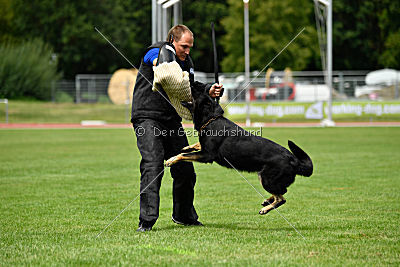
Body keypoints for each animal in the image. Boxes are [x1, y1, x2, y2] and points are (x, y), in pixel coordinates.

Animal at [165, 93, 312, 216]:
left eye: (196, 93)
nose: (192, 83)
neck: (211, 120)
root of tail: (294, 160)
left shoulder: (207, 156)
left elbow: (183, 156)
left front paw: (171, 160)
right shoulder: (204, 149)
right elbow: (194, 146)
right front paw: (187, 147)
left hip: (266, 179)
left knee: (282, 197)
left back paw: (266, 208)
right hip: (266, 178)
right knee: (282, 192)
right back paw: (267, 201)